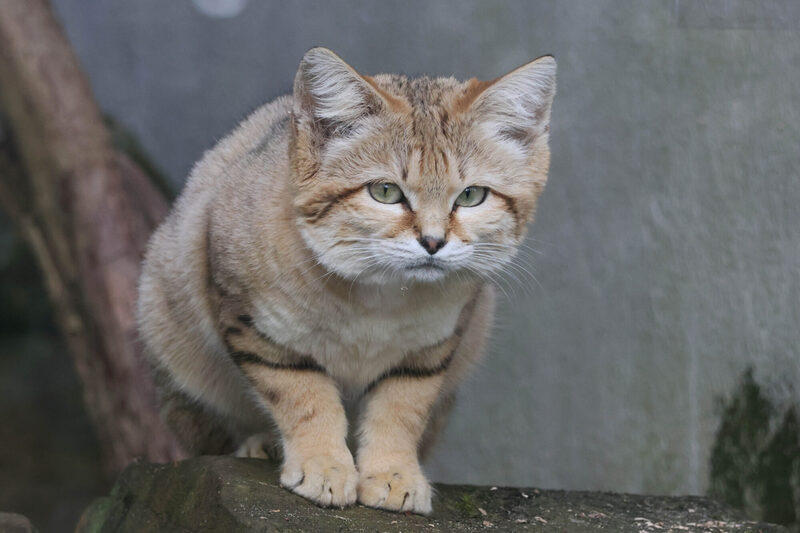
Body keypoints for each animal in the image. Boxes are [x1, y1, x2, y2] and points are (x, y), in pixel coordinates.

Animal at [138, 47, 556, 512]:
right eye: (385, 192)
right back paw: (260, 444)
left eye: (470, 196)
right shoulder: (259, 329)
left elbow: (400, 409)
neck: (380, 295)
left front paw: (393, 473)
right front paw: (323, 465)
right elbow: (305, 397)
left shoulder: (431, 348)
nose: (433, 242)